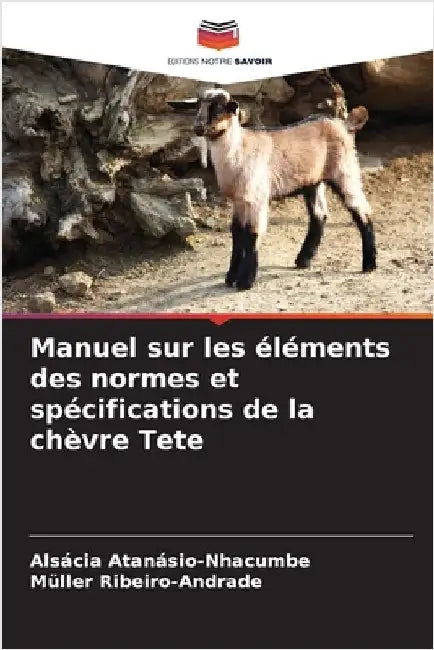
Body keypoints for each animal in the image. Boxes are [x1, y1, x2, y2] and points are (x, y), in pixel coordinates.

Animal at [193, 88, 376, 290]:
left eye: (218, 108)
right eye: (198, 105)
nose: (197, 128)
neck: (238, 149)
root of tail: (343, 124)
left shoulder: (256, 198)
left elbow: (251, 235)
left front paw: (245, 281)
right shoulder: (239, 200)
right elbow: (237, 234)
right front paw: (231, 277)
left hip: (344, 169)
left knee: (362, 210)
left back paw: (369, 264)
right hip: (312, 181)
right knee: (319, 215)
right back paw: (303, 260)